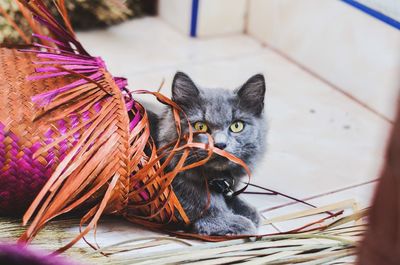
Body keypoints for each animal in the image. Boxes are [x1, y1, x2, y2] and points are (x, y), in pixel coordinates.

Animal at [148, 71, 268, 234]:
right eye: (201, 126)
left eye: (237, 126)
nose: (220, 144)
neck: (215, 178)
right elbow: (204, 203)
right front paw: (233, 222)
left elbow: (232, 196)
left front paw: (246, 210)